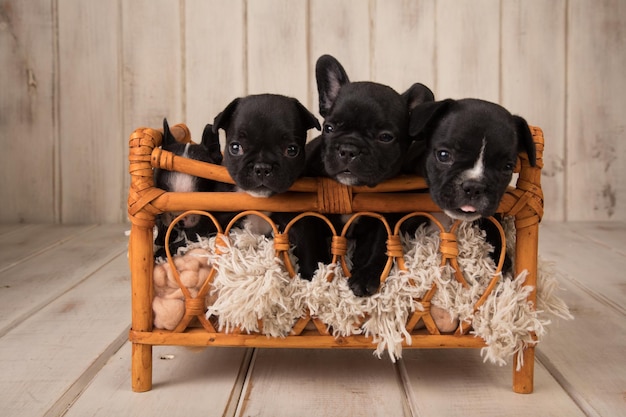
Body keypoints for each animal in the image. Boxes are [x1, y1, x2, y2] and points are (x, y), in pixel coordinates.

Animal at [300, 55, 432, 296]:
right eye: (329, 128)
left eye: (385, 137)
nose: (349, 149)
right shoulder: (306, 215)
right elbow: (308, 246)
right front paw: (313, 278)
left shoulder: (387, 218)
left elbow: (380, 246)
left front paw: (366, 276)